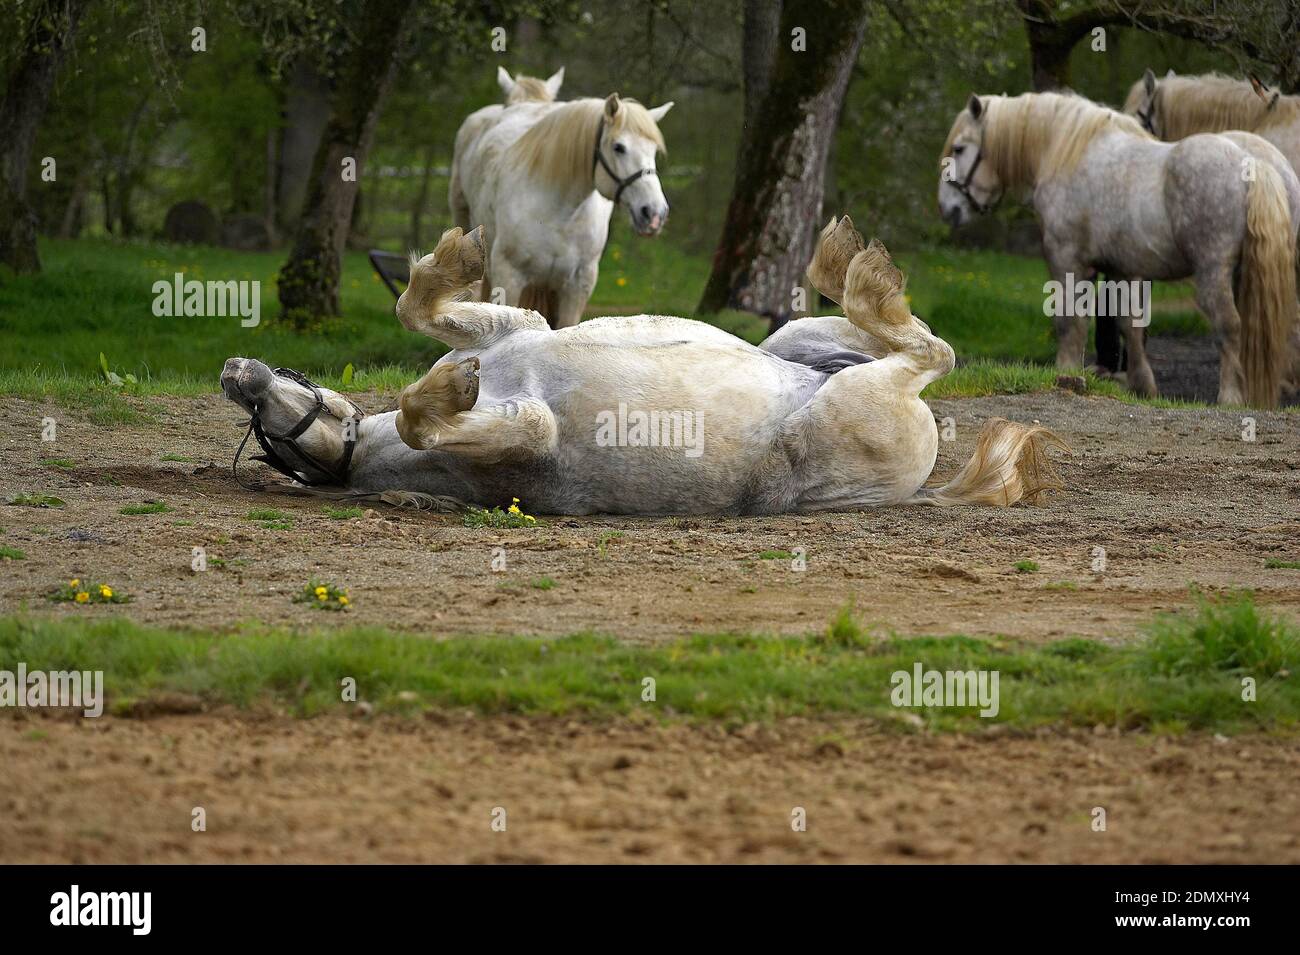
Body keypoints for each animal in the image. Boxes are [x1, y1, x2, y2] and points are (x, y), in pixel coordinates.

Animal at [220, 218, 1066, 514]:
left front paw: (456, 261)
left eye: (271, 413)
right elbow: (429, 417)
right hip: (847, 395)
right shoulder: (529, 433)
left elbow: (416, 308)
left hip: (803, 340)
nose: (235, 371)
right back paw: (855, 273)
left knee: (926, 346)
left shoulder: (516, 328)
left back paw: (848, 267)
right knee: (928, 353)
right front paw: (446, 388)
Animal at [447, 73, 670, 332]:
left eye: (653, 150)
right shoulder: (509, 277)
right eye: (619, 147)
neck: (560, 213)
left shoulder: (577, 287)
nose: (654, 213)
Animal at [941, 93, 1294, 410]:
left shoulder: (1067, 261)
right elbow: (1129, 324)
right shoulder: (1122, 269)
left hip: (1213, 271)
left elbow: (1070, 321)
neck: (1068, 154)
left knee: (1229, 327)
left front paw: (1066, 373)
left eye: (959, 149)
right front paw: (1143, 386)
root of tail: (1256, 163)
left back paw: (1231, 397)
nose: (947, 209)